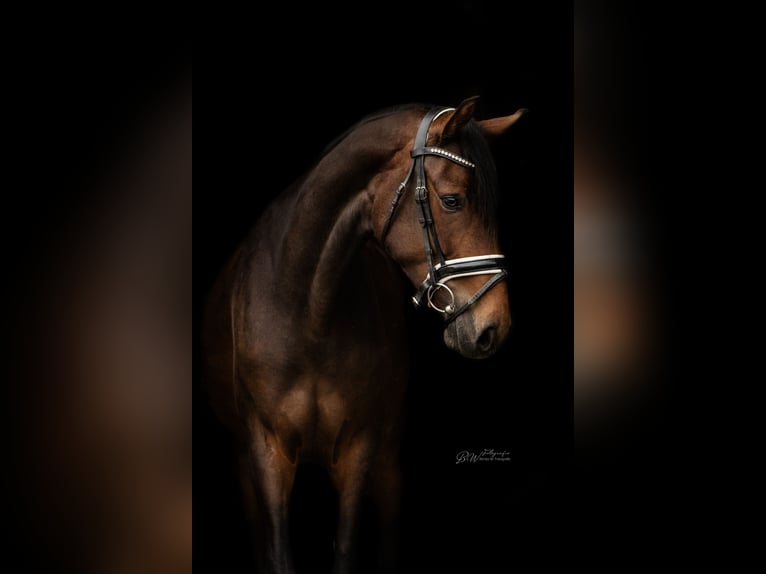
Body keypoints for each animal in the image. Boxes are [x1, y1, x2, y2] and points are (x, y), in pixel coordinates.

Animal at [203, 96, 525, 573]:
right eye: (453, 201)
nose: (493, 327)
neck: (306, 312)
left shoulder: (360, 447)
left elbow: (346, 548)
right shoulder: (266, 450)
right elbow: (278, 553)